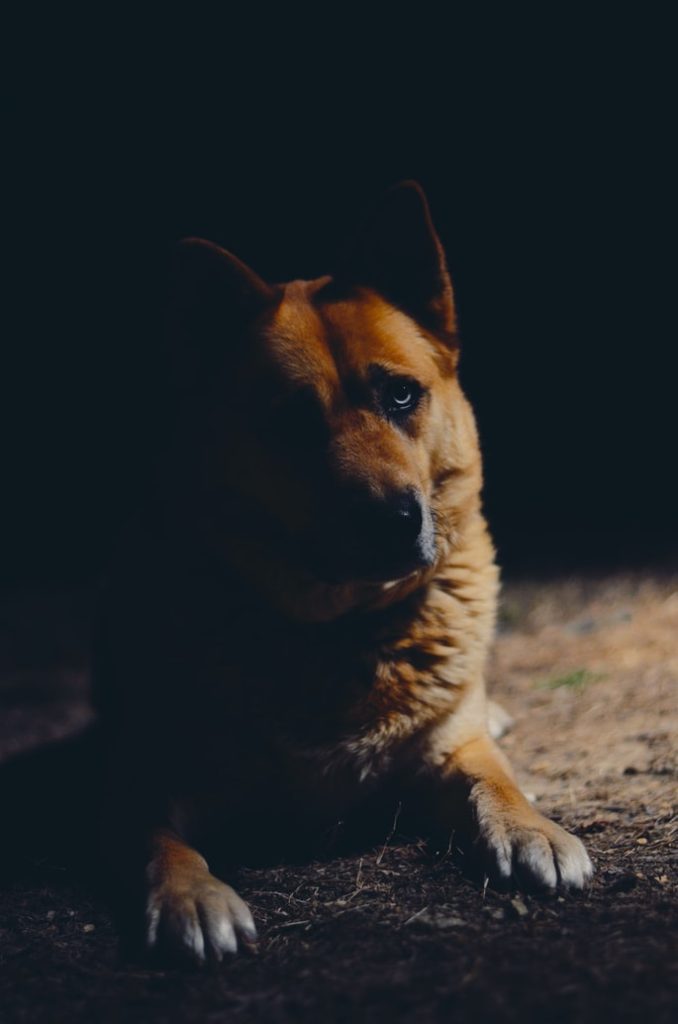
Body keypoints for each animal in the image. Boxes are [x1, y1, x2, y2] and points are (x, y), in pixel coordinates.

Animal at [93, 182, 594, 958]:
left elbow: (494, 779)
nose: (394, 519)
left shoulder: (455, 752)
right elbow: (155, 839)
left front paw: (530, 827)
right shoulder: (136, 783)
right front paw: (189, 894)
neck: (347, 629)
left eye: (401, 395)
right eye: (293, 421)